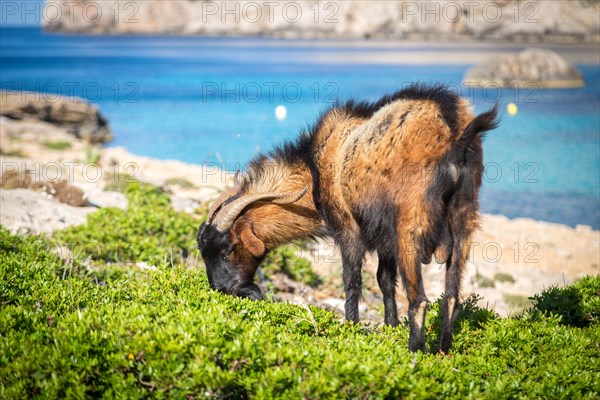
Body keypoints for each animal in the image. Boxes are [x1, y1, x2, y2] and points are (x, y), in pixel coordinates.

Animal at [197, 83, 496, 352]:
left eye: (228, 250)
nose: (223, 290)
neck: (315, 170)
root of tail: (453, 129)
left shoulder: (349, 227)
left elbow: (352, 281)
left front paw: (351, 327)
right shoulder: (383, 237)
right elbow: (385, 281)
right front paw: (391, 326)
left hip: (410, 222)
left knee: (420, 300)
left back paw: (416, 351)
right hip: (464, 219)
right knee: (451, 297)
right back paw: (443, 351)